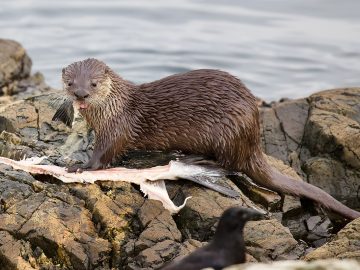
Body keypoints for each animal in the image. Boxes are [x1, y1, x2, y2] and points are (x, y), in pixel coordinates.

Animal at [59, 58, 360, 219]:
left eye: (94, 83)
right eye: (70, 83)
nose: (81, 94)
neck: (114, 107)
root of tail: (253, 140)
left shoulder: (116, 128)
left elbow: (105, 155)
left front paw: (80, 167)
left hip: (227, 132)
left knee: (231, 164)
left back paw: (194, 159)